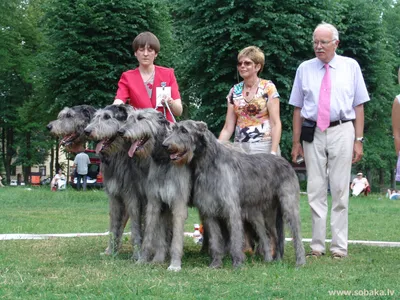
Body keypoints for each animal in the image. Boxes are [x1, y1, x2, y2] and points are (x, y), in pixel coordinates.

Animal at [84, 104, 148, 258]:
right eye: (95, 117)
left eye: (107, 117)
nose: (86, 131)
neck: (121, 156)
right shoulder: (114, 197)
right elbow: (113, 225)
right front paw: (111, 251)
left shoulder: (134, 197)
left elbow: (136, 227)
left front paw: (137, 254)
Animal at [118, 108, 191, 272]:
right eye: (129, 118)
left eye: (141, 118)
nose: (120, 131)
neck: (164, 159)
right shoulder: (154, 202)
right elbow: (151, 233)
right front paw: (147, 260)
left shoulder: (178, 204)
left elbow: (177, 238)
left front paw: (175, 264)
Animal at [162, 119, 306, 268]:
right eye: (173, 129)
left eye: (184, 130)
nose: (165, 145)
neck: (209, 164)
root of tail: (287, 163)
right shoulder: (209, 211)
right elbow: (215, 240)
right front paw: (215, 263)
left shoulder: (232, 209)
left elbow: (236, 238)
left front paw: (237, 263)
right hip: (267, 214)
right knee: (272, 235)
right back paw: (274, 260)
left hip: (288, 205)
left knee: (296, 234)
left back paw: (300, 261)